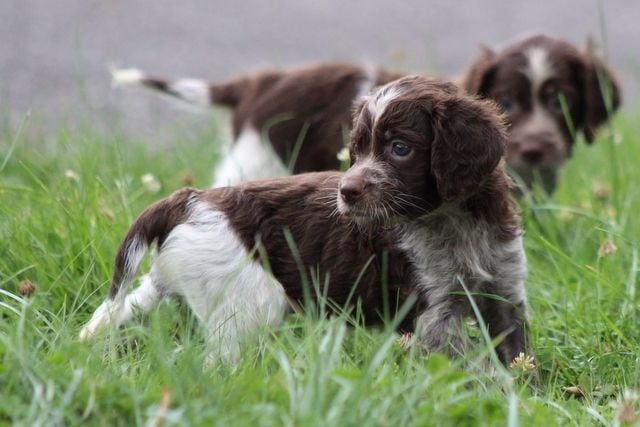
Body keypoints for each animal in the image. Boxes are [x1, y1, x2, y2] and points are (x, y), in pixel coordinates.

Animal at [81, 77, 528, 368]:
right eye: (357, 149)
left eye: (400, 148)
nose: (345, 192)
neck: (455, 221)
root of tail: (190, 200)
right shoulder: (434, 313)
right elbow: (472, 366)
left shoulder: (505, 293)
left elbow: (519, 358)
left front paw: (527, 396)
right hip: (247, 306)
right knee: (217, 362)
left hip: (164, 284)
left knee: (121, 312)